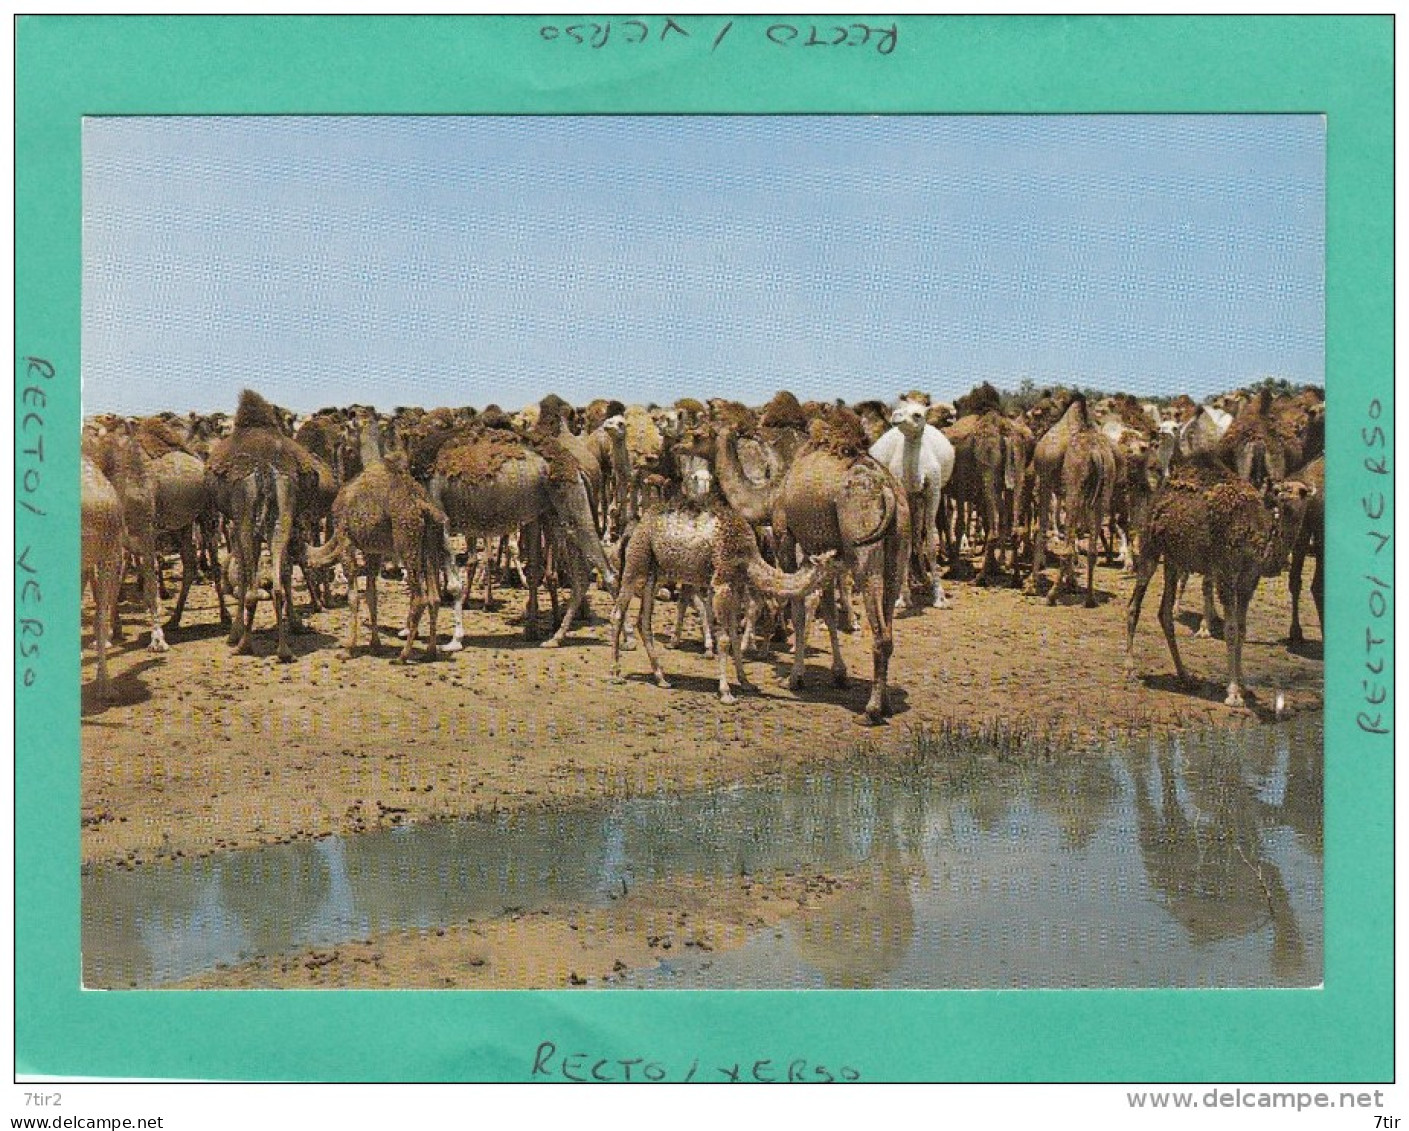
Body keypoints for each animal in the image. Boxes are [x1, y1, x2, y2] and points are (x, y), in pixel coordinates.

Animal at [308, 428, 445, 667]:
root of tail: (422, 504)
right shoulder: (373, 551)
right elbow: (372, 595)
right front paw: (375, 644)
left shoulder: (346, 540)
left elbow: (354, 596)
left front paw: (348, 648)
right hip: (429, 544)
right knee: (434, 597)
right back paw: (429, 652)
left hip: (406, 540)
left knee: (419, 597)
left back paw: (403, 655)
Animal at [715, 405, 913, 726]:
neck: (771, 494)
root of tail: (888, 490)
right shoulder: (825, 549)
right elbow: (829, 611)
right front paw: (839, 674)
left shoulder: (785, 535)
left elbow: (797, 608)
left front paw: (795, 678)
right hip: (899, 544)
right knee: (889, 621)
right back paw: (886, 704)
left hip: (864, 544)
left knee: (880, 630)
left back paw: (871, 710)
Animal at [1127, 459, 1313, 707]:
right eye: (1278, 489)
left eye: (1301, 491)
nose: (1283, 495)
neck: (1254, 540)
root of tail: (1158, 495)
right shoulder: (1226, 574)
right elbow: (1231, 630)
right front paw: (1233, 693)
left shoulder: (1248, 581)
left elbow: (1242, 630)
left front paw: (1244, 687)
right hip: (1150, 547)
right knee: (1134, 605)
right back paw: (1130, 670)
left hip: (1174, 559)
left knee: (1164, 613)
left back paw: (1185, 676)